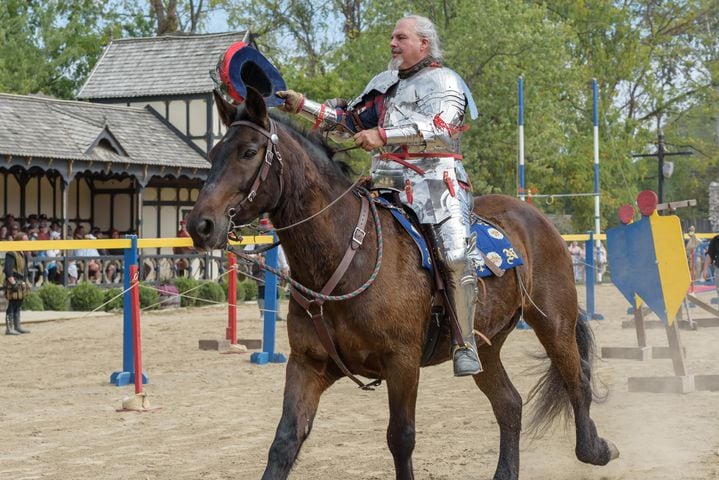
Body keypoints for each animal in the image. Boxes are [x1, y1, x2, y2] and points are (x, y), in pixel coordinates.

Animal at [186, 88, 620, 478]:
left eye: (248, 152)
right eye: (214, 153)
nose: (200, 225)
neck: (348, 254)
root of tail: (534, 217)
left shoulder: (402, 363)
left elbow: (401, 439)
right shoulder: (308, 365)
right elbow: (284, 442)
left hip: (554, 322)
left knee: (577, 382)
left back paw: (597, 449)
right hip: (485, 344)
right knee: (509, 404)